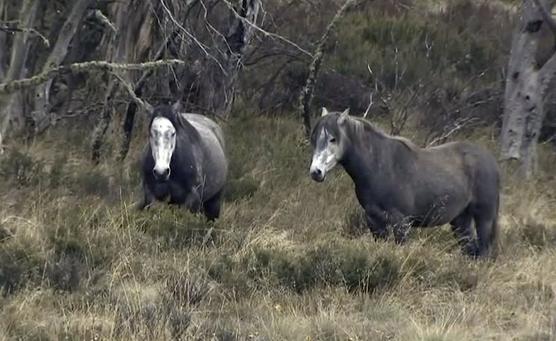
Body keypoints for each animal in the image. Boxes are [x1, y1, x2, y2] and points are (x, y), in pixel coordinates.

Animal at [308, 107, 500, 256]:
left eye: (333, 138)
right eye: (314, 138)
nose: (316, 172)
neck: (379, 166)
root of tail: (491, 160)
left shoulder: (401, 222)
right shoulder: (375, 221)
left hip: (484, 217)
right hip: (461, 219)